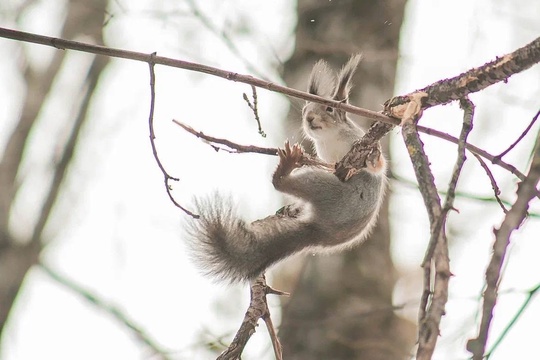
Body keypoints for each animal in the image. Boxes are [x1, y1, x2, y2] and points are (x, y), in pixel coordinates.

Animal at [186, 54, 384, 284]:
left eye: (329, 109)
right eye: (306, 109)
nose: (309, 118)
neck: (330, 138)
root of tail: (319, 231)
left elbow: (376, 164)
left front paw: (371, 159)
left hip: (324, 186)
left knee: (280, 183)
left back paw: (286, 167)